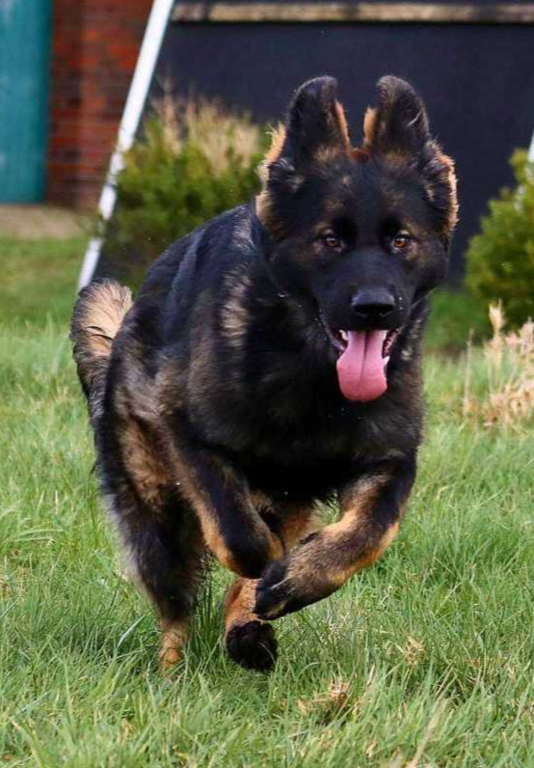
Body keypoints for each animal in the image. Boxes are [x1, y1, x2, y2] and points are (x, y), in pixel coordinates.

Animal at [71, 75, 457, 672]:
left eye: (401, 240)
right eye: (330, 240)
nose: (375, 308)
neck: (314, 378)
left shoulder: (390, 460)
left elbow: (369, 532)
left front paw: (299, 580)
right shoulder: (192, 438)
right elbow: (240, 535)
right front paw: (269, 569)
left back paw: (248, 631)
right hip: (155, 507)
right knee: (175, 604)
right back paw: (174, 671)